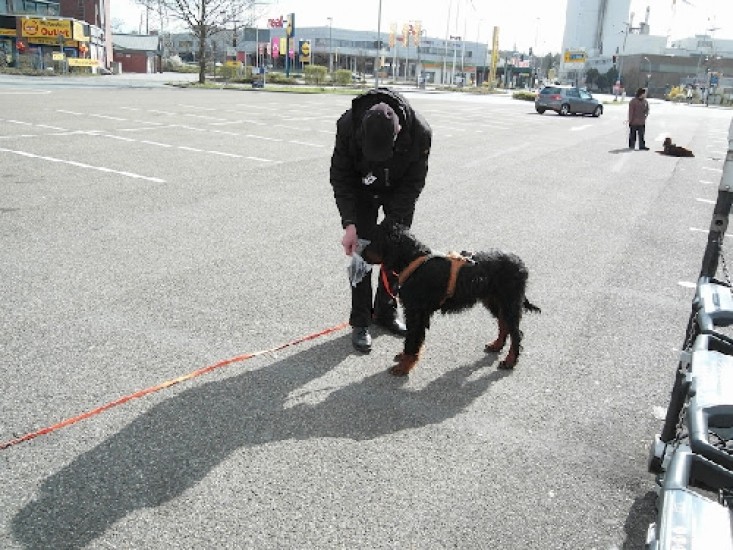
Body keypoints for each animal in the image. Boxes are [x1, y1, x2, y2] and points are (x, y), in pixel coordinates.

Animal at [361, 222, 541, 376]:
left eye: (375, 238)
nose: (360, 253)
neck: (414, 261)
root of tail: (521, 264)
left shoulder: (416, 312)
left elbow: (412, 340)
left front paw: (404, 366)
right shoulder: (419, 313)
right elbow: (414, 339)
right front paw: (405, 358)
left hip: (509, 302)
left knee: (516, 333)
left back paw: (510, 361)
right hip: (494, 300)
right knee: (504, 324)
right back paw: (496, 345)